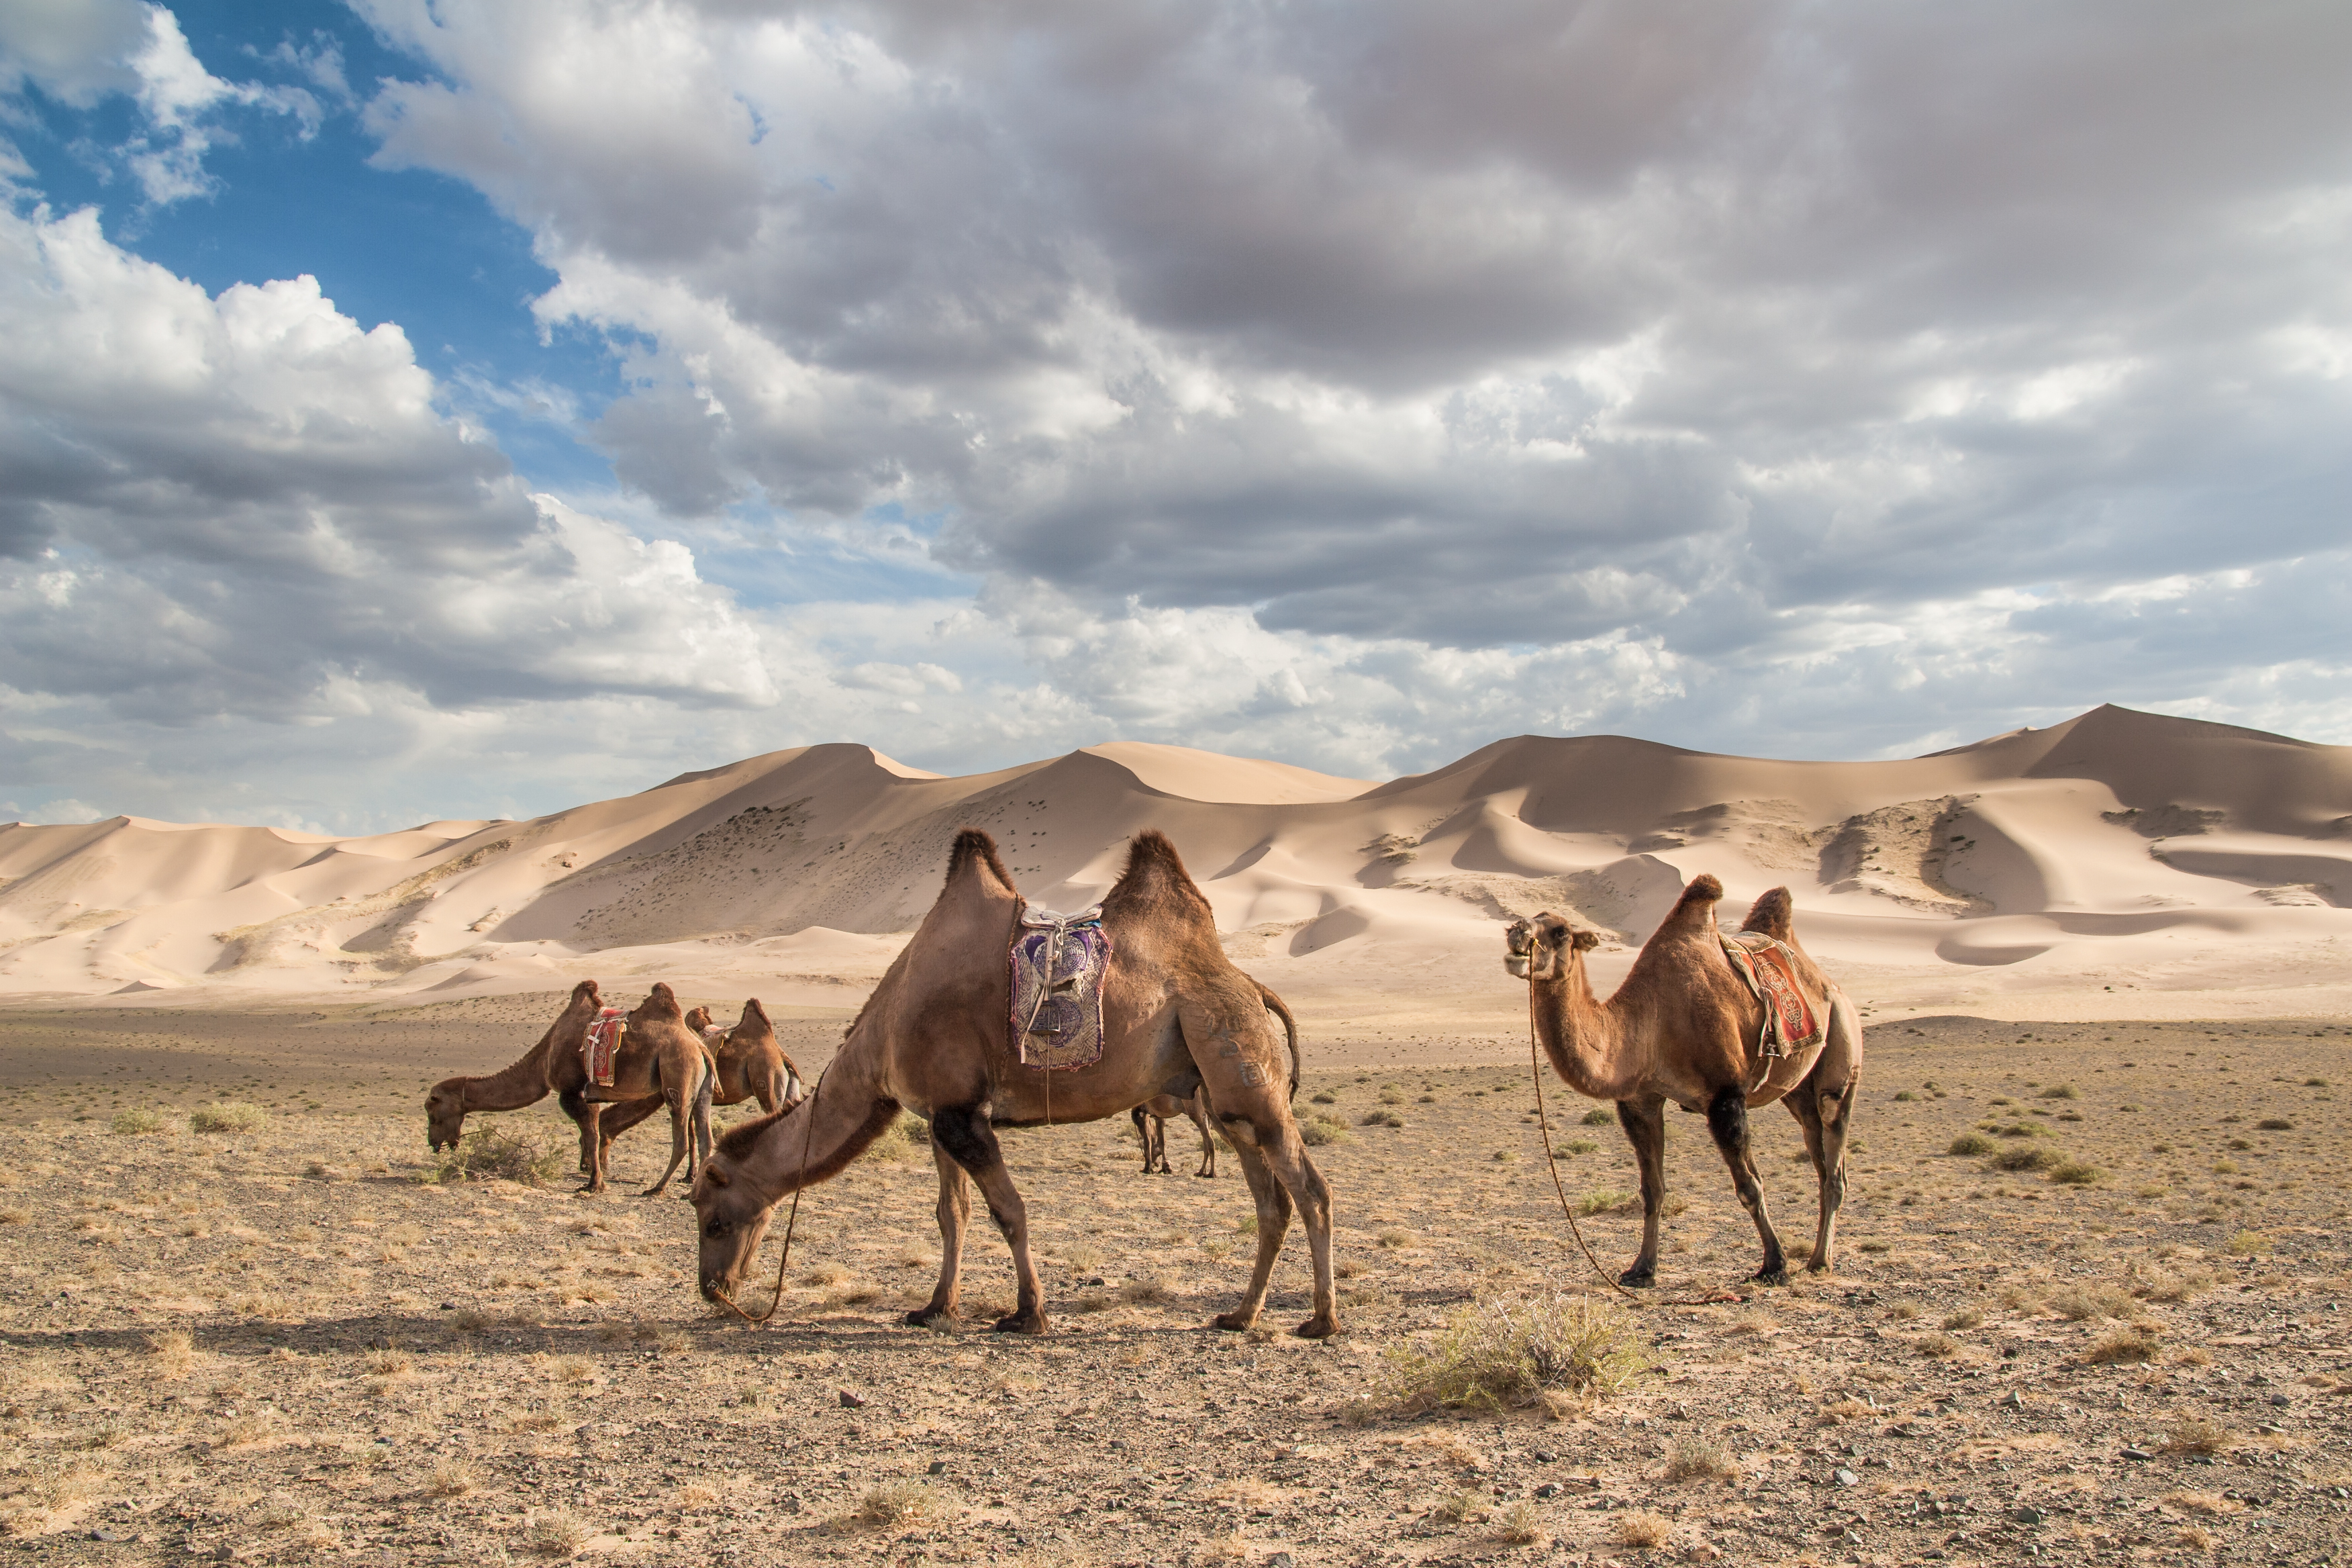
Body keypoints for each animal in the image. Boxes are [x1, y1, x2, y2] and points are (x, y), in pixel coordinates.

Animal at [423, 982, 715, 1204]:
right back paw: (691, 1192)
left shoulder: (572, 1092)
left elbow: (591, 1136)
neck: (544, 1058)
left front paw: (593, 1185)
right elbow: (593, 1134)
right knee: (704, 1138)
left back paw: (656, 1188)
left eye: (432, 1109)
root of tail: (699, 1046)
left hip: (677, 1075)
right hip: (703, 1090)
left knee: (681, 1139)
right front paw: (594, 1179)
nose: (433, 1143)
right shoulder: (591, 1094)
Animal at [691, 832, 1345, 1335]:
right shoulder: (942, 1115)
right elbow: (951, 1214)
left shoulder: (964, 1116)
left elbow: (1010, 1211)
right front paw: (935, 1307)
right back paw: (1240, 1315)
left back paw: (1320, 1320)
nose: (712, 1289)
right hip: (1223, 1098)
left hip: (1241, 1064)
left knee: (1310, 1190)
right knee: (1271, 1201)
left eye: (713, 1219)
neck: (885, 1034)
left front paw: (1028, 1314)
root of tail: (1251, 985)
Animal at [1505, 879, 1872, 1279]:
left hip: (1842, 1040)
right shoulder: (1640, 1101)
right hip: (1797, 1092)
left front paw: (1774, 1264)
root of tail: (1832, 987)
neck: (1651, 1022)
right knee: (1818, 1152)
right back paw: (1819, 1254)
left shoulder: (1725, 1096)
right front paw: (1642, 1269)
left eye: (1559, 932)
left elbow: (1750, 1186)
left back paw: (1820, 1260)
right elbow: (1653, 1191)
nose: (1515, 930)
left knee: (1833, 1149)